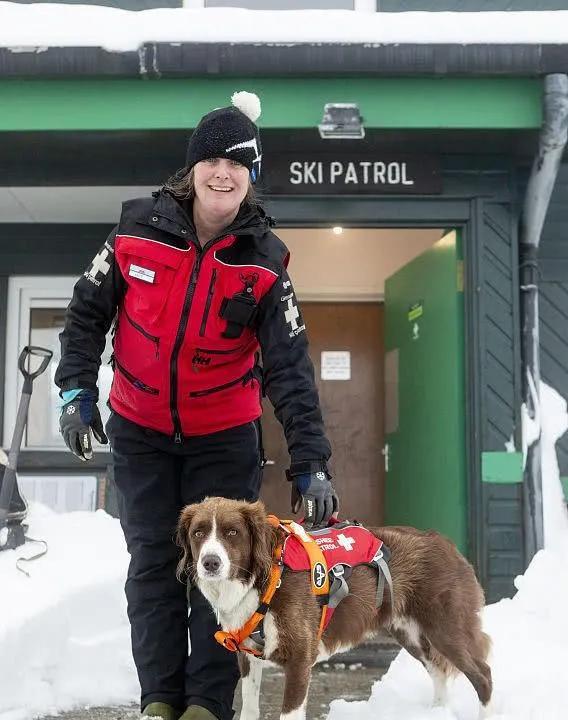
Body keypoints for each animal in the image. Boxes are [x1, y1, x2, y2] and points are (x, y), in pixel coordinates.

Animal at [178, 498, 492, 720]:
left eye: (233, 532)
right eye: (198, 533)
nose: (210, 563)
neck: (266, 578)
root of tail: (442, 541)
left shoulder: (300, 658)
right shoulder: (248, 657)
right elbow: (250, 709)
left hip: (446, 628)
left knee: (483, 675)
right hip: (410, 633)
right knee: (438, 671)